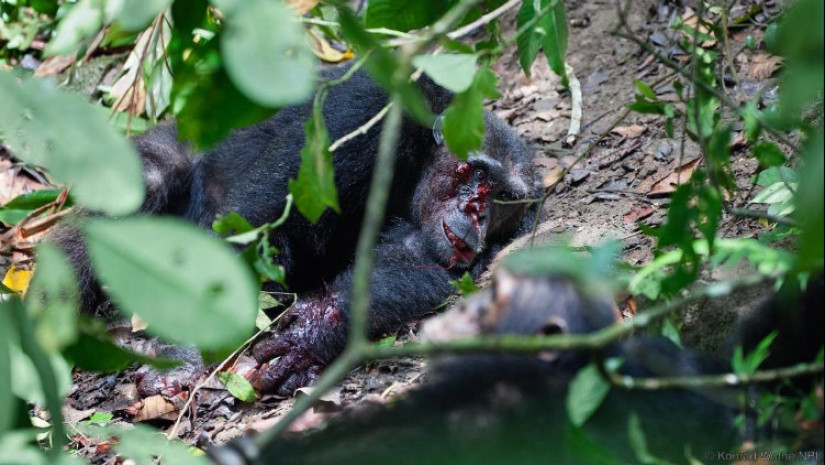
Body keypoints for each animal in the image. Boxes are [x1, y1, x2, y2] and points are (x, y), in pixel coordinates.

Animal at [53, 62, 540, 396]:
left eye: (503, 199)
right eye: (478, 174)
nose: (477, 212)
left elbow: (413, 266)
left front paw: (313, 335)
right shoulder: (362, 112)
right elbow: (260, 217)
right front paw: (190, 348)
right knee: (140, 187)